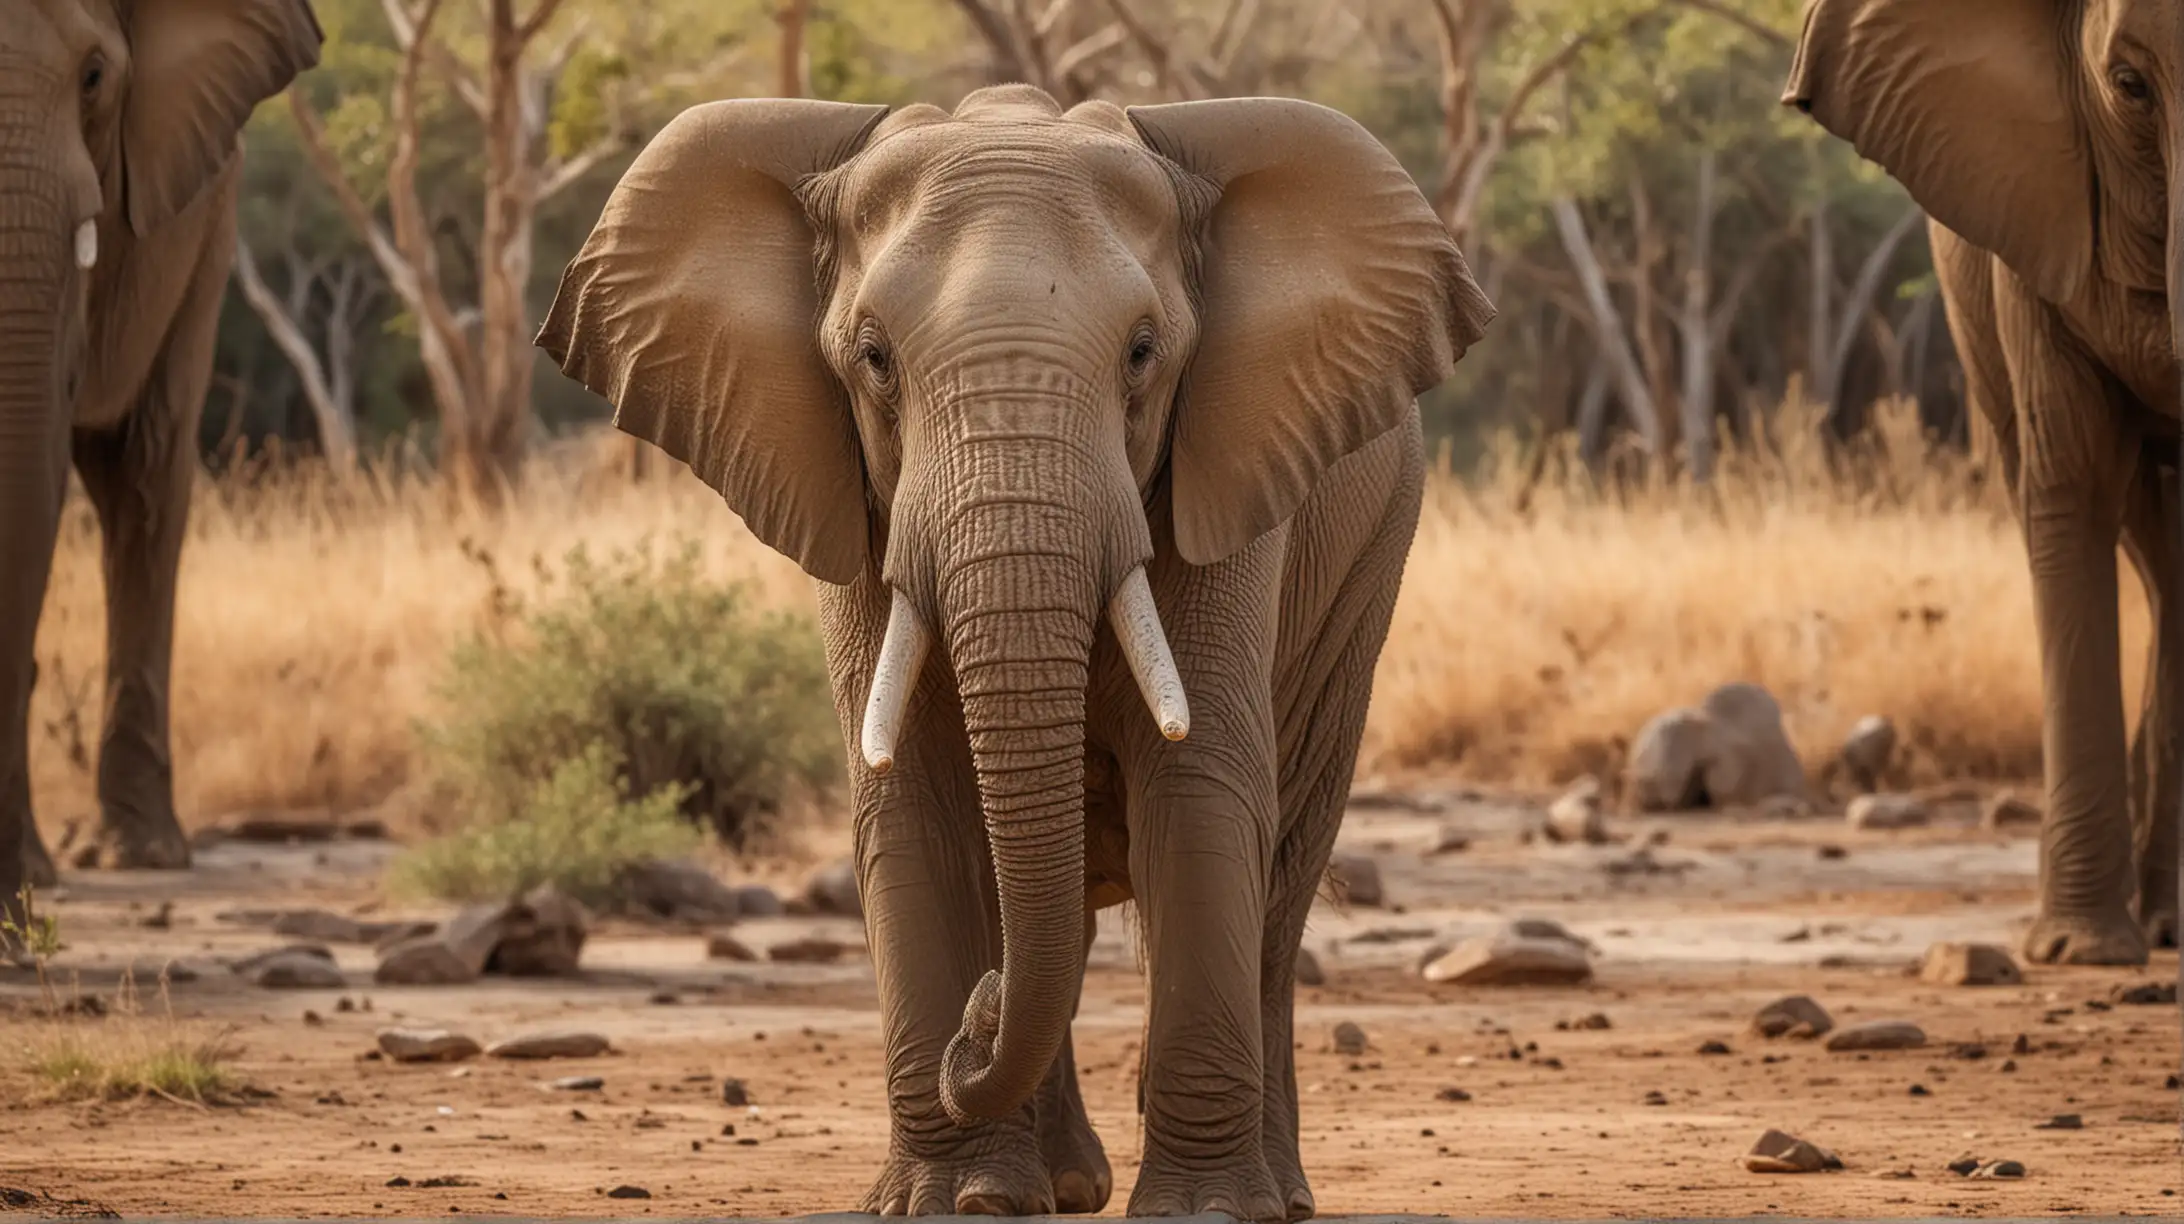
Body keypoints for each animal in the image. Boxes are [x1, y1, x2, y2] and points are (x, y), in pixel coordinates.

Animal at [537, 83, 1493, 1215]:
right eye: (873, 358)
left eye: (1142, 353)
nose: (980, 1014)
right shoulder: (856, 505)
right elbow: (914, 798)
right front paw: (954, 1201)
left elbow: (1201, 789)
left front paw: (1205, 1211)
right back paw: (1062, 1183)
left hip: (1369, 565)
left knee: (1281, 876)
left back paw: (1271, 1193)